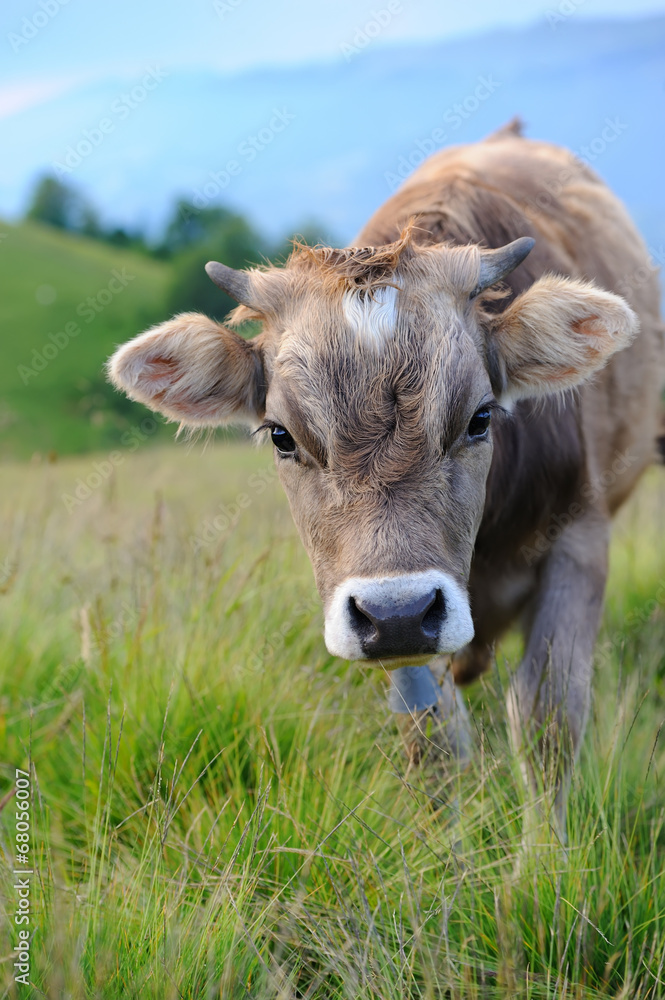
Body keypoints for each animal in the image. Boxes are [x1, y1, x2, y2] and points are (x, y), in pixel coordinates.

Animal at [109, 121, 664, 832]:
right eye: (281, 436)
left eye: (481, 417)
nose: (398, 612)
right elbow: (433, 742)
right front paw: (447, 859)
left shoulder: (580, 536)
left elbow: (548, 719)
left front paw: (544, 858)